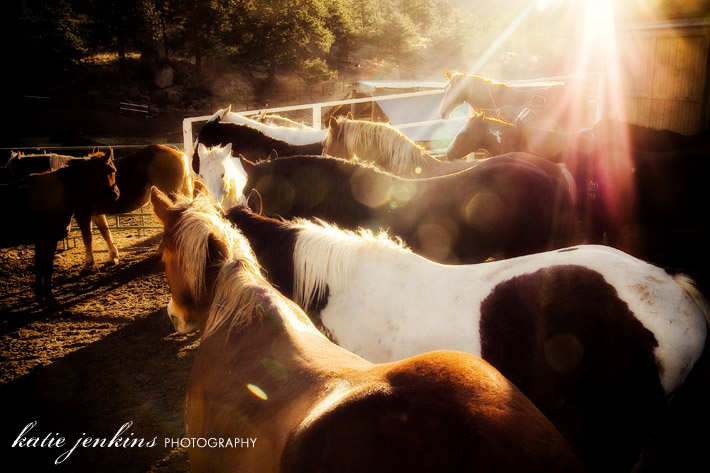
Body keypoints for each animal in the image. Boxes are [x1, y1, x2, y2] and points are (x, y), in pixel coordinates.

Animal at [0, 151, 119, 302]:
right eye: (111, 170)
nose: (116, 193)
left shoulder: (43, 240)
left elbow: (41, 265)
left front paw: (41, 294)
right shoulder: (47, 239)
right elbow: (46, 266)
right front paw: (48, 296)